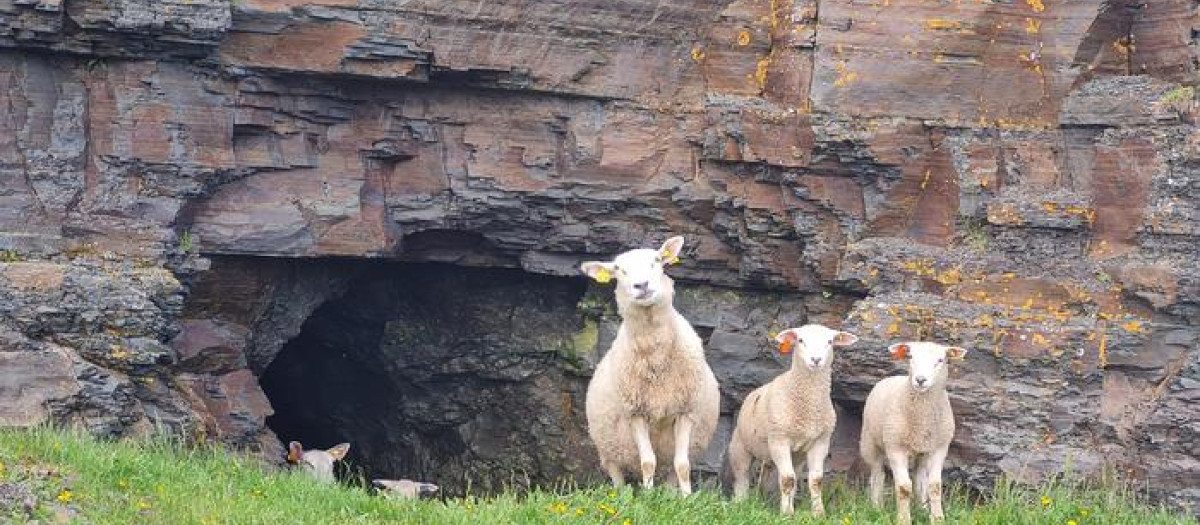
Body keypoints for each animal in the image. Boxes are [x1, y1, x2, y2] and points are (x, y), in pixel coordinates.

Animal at [579, 235, 720, 495]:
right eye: (618, 270)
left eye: (656, 260)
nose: (642, 285)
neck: (656, 358)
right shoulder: (636, 412)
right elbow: (647, 462)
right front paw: (647, 496)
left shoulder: (685, 410)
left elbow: (682, 464)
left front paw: (687, 497)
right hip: (608, 448)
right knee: (618, 474)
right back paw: (623, 495)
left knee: (671, 470)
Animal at [727, 324, 859, 516]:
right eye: (801, 340)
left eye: (830, 341)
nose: (816, 359)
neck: (808, 408)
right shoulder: (780, 440)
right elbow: (787, 479)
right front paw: (786, 514)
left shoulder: (820, 442)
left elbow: (816, 480)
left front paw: (818, 513)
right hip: (740, 447)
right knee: (741, 476)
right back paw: (740, 504)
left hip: (789, 455)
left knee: (769, 475)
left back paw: (762, 501)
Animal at [859, 341, 968, 525]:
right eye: (910, 356)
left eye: (941, 360)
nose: (920, 380)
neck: (922, 419)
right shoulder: (896, 448)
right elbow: (903, 487)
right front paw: (904, 519)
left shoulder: (939, 449)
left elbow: (934, 486)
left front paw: (937, 518)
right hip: (871, 444)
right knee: (877, 475)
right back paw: (876, 508)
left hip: (921, 453)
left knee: (919, 479)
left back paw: (921, 509)